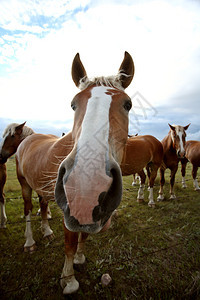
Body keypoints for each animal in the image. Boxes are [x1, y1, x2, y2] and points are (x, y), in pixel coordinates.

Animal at [15, 51, 134, 292]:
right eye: (73, 105)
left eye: (128, 104)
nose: (88, 185)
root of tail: (28, 138)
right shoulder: (69, 209)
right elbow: (69, 244)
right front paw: (68, 280)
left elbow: (84, 236)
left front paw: (80, 259)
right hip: (24, 185)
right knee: (28, 210)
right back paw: (30, 242)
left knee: (43, 206)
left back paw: (47, 232)